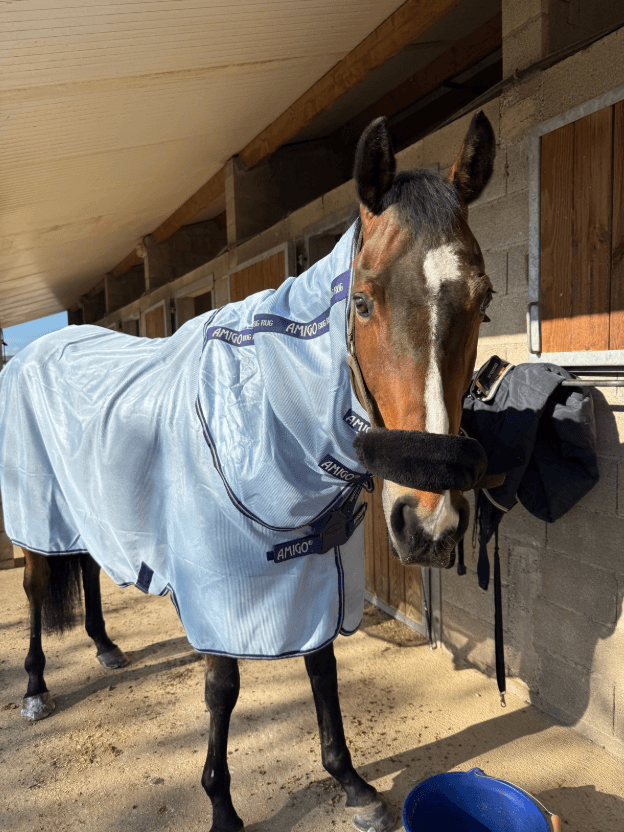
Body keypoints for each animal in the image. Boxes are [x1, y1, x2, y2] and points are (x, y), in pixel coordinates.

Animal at [1, 110, 495, 832]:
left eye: (485, 301)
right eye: (364, 302)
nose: (431, 524)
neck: (265, 414)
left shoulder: (318, 570)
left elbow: (322, 667)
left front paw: (351, 782)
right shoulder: (220, 587)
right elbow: (223, 689)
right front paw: (221, 806)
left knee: (88, 568)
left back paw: (104, 646)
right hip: (37, 514)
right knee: (38, 589)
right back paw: (37, 687)